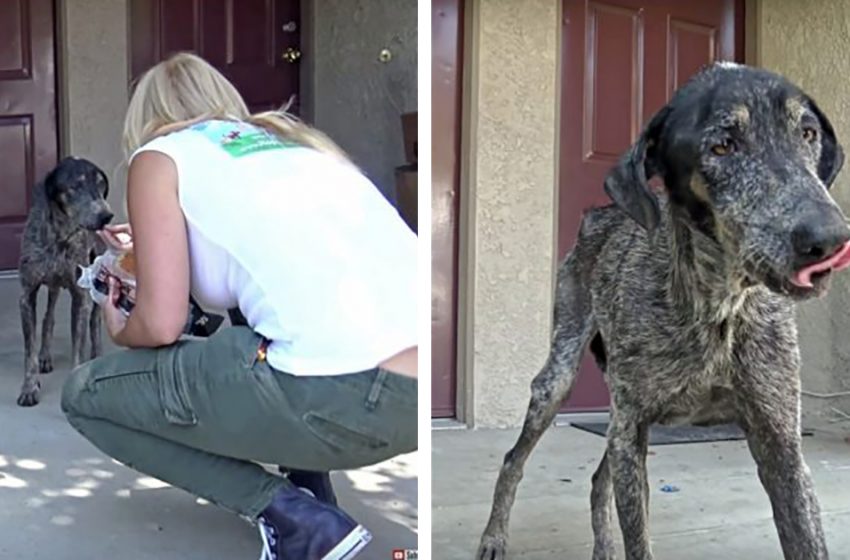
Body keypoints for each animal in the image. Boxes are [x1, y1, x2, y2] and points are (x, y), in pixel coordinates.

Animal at [18, 158, 112, 406]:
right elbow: (29, 353)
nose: (106, 216)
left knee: (94, 322)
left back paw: (96, 356)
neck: (59, 237)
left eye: (100, 184)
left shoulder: (81, 298)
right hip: (52, 287)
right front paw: (29, 388)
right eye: (75, 186)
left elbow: (78, 347)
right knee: (48, 318)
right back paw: (45, 356)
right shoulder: (27, 296)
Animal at [476, 62, 848, 560]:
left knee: (598, 480)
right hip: (561, 382)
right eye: (722, 145)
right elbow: (639, 539)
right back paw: (494, 536)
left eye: (807, 133)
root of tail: (599, 213)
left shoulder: (781, 441)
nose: (829, 239)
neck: (719, 306)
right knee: (514, 459)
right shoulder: (631, 428)